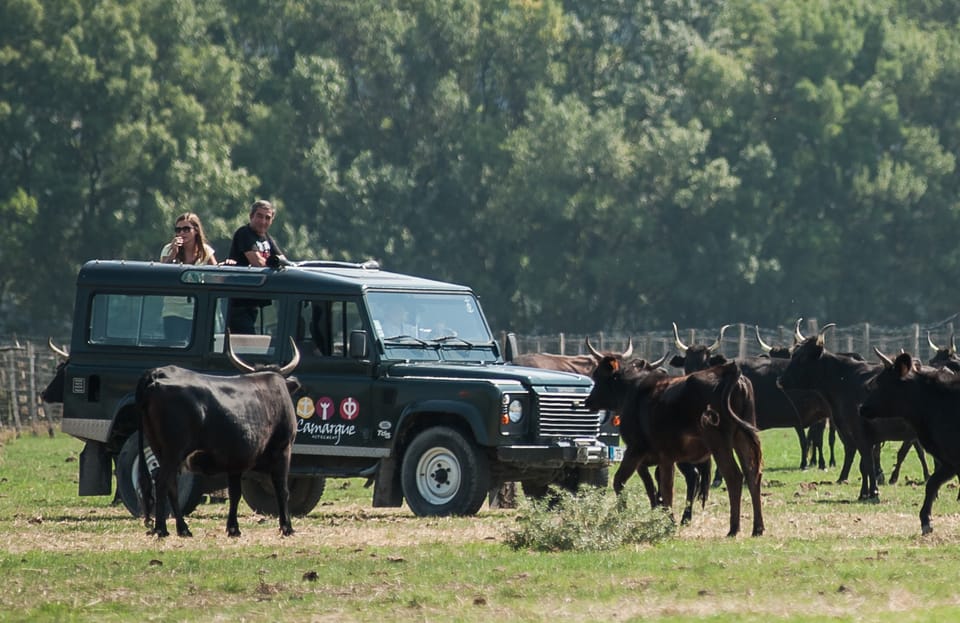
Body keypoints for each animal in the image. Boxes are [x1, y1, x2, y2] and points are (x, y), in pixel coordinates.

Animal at [136, 338, 300, 540]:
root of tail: (156, 374)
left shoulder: (236, 461)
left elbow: (235, 493)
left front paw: (233, 528)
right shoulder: (283, 449)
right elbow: (282, 490)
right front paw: (287, 527)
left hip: (160, 448)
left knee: (171, 484)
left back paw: (183, 529)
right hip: (174, 451)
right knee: (161, 482)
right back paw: (161, 529)